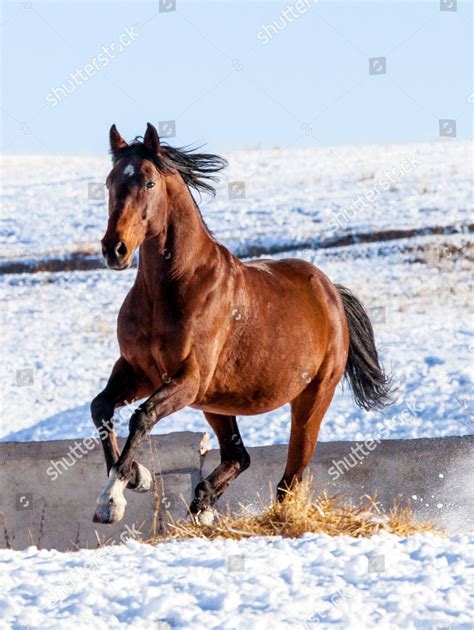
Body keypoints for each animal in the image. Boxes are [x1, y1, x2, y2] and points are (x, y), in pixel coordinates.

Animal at [90, 122, 390, 524]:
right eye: (110, 182)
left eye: (149, 183)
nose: (115, 249)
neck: (171, 288)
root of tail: (331, 295)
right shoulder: (139, 372)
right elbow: (101, 408)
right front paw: (136, 477)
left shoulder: (188, 378)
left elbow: (142, 416)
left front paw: (113, 498)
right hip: (216, 403)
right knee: (239, 458)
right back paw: (201, 506)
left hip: (311, 398)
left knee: (290, 478)